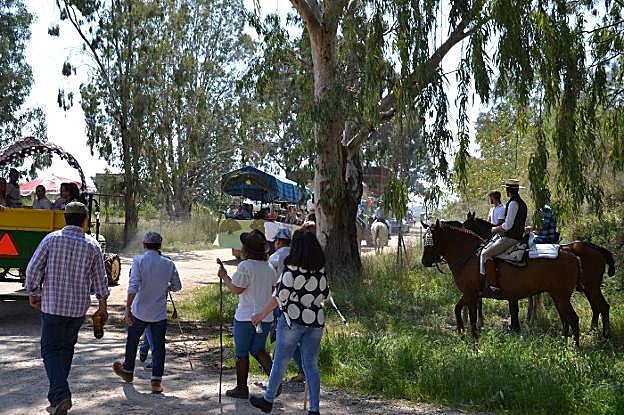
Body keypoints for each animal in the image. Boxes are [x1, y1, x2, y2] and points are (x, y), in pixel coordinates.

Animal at [421, 220, 581, 346]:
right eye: (424, 238)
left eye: (431, 240)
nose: (425, 261)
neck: (469, 255)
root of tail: (571, 253)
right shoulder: (469, 294)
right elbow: (457, 309)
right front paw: (461, 332)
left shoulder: (471, 294)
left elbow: (472, 316)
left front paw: (474, 337)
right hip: (558, 296)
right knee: (565, 318)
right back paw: (565, 342)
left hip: (561, 297)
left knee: (573, 318)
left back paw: (575, 348)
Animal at [464, 212, 615, 336]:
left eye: (465, 225)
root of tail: (596, 249)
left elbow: (515, 306)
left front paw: (518, 325)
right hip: (588, 288)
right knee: (596, 307)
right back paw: (593, 330)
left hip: (591, 288)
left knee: (602, 307)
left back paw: (605, 334)